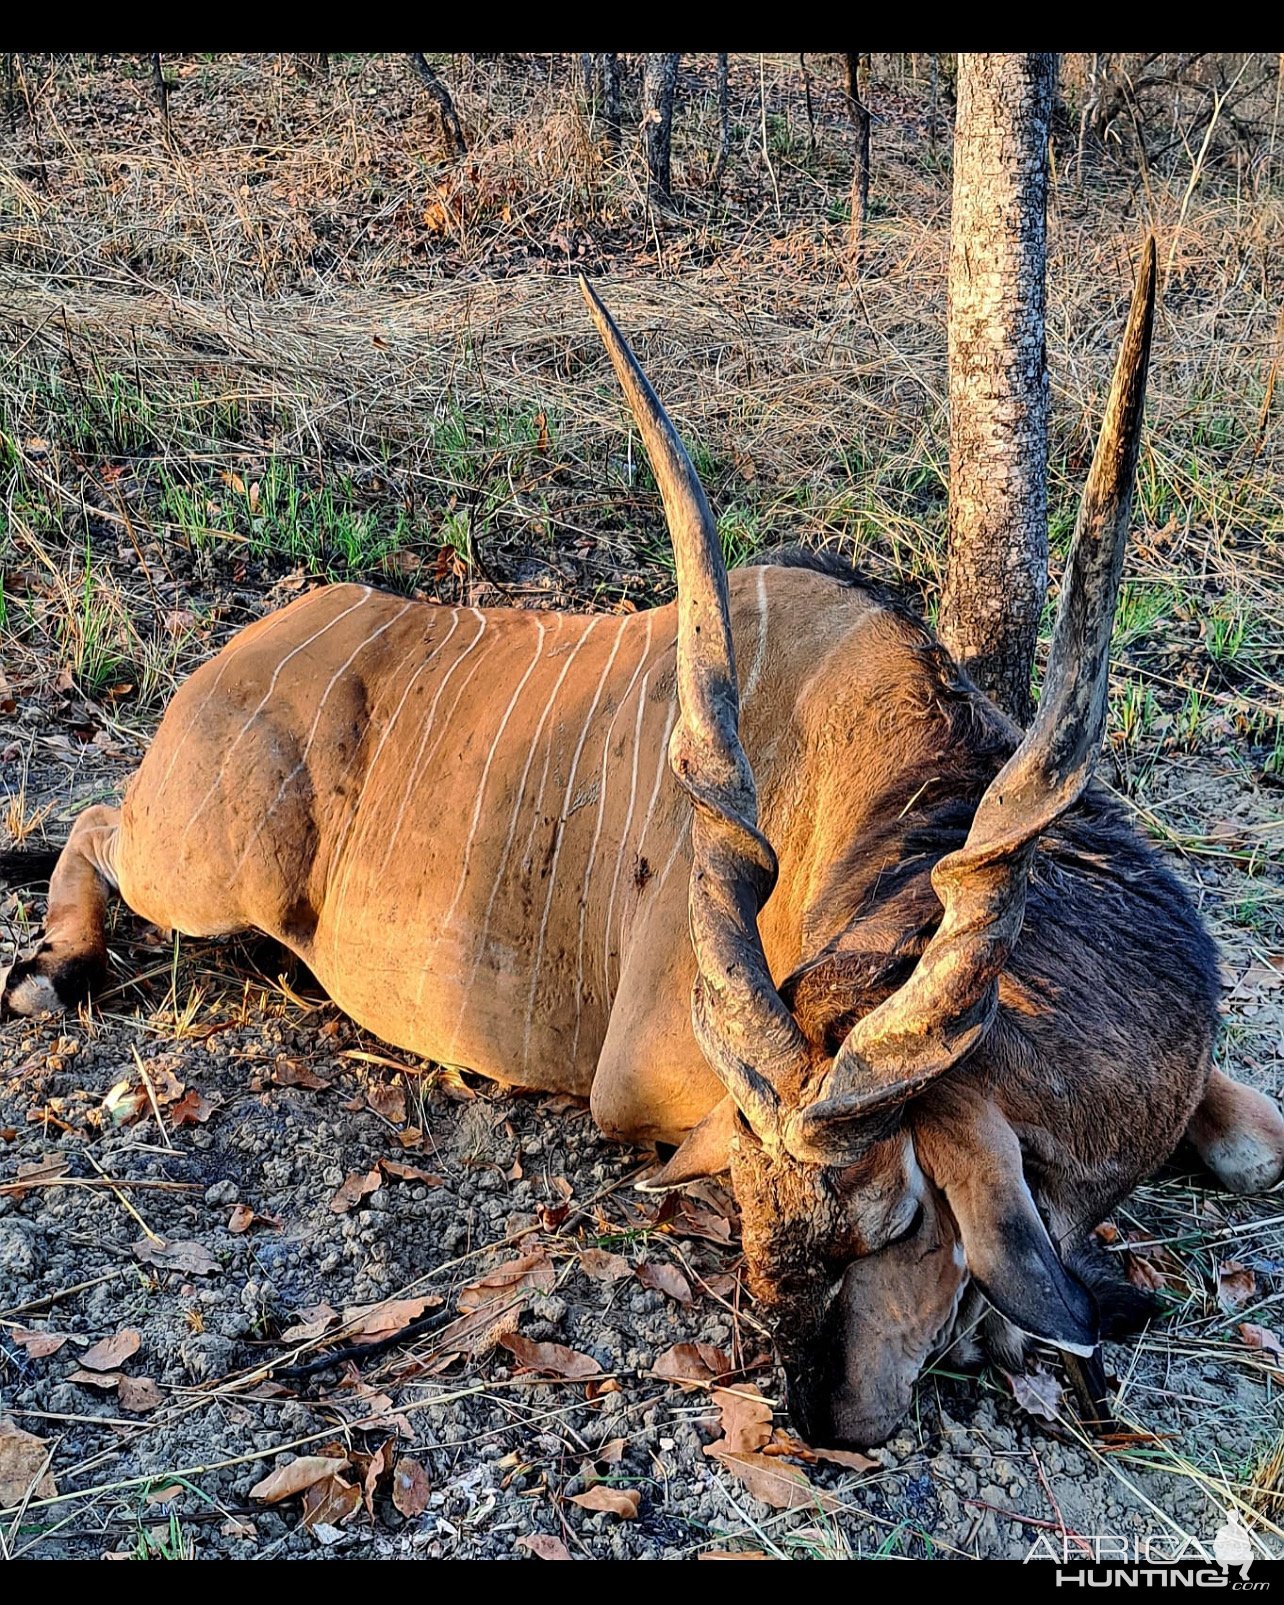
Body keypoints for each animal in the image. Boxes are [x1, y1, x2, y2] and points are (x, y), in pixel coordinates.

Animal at [2, 243, 1284, 1450]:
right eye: (763, 1219)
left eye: (905, 1221)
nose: (825, 1416)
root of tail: (241, 657)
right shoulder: (642, 1082)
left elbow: (1253, 1148)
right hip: (207, 872)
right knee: (94, 821)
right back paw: (53, 967)